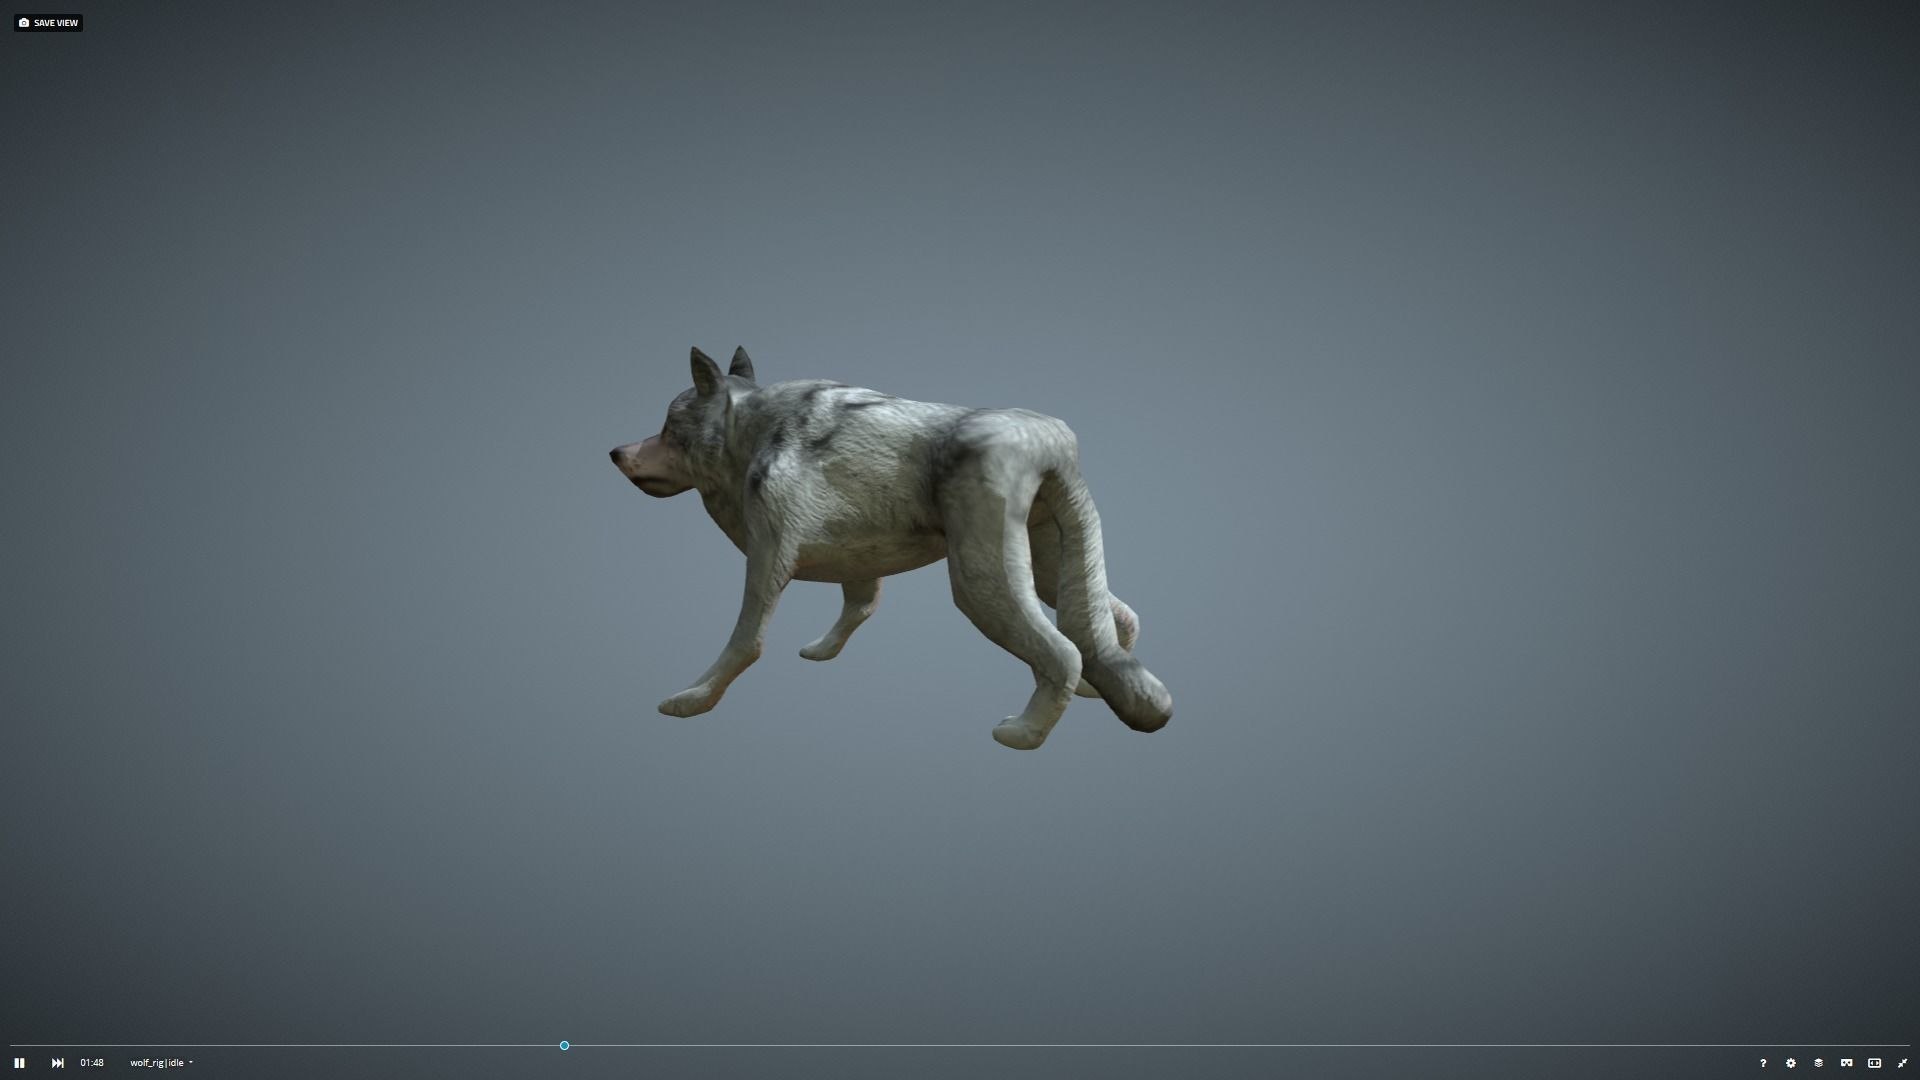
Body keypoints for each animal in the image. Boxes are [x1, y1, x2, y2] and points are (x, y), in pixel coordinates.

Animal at [609, 347, 1172, 750]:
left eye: (667, 430)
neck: (750, 433)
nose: (615, 452)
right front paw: (823, 650)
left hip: (980, 582)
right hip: (1049, 570)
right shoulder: (856, 556)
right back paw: (1094, 689)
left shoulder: (768, 558)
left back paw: (1024, 734)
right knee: (1115, 621)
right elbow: (860, 604)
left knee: (1063, 651)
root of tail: (1052, 440)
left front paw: (693, 699)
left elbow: (744, 643)